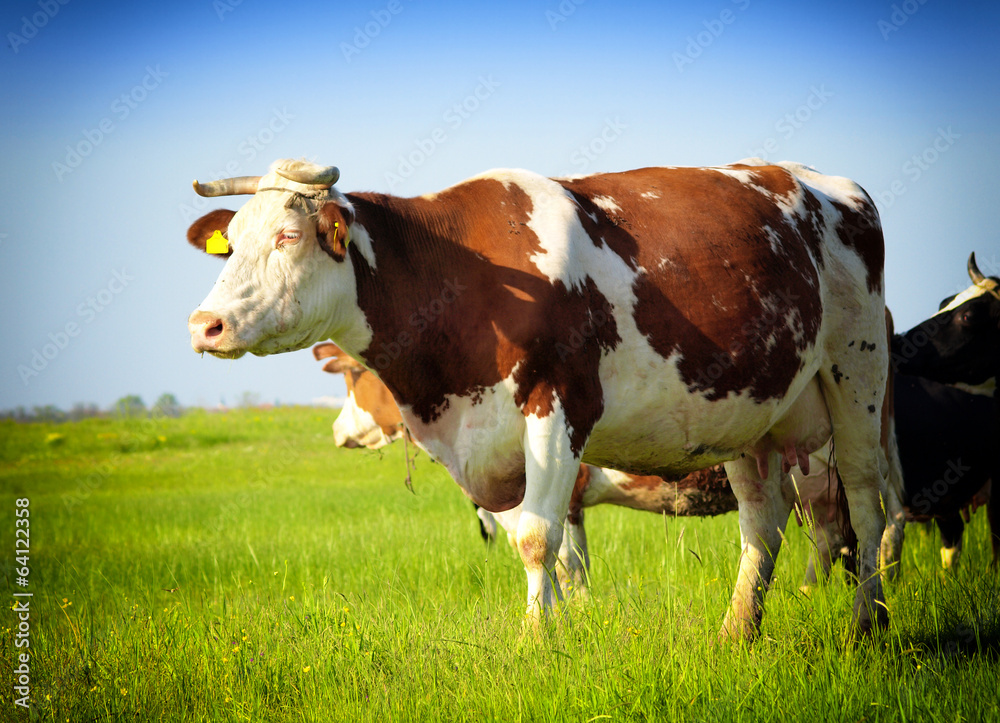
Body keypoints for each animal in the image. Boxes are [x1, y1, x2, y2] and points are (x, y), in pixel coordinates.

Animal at [188, 158, 892, 640]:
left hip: (857, 377)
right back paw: (736, 634)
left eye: (288, 237)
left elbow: (537, 539)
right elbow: (551, 550)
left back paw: (867, 625)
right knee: (763, 525)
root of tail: (824, 182)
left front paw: (538, 640)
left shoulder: (559, 407)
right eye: (233, 243)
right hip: (751, 411)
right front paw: (560, 629)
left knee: (863, 505)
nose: (204, 324)